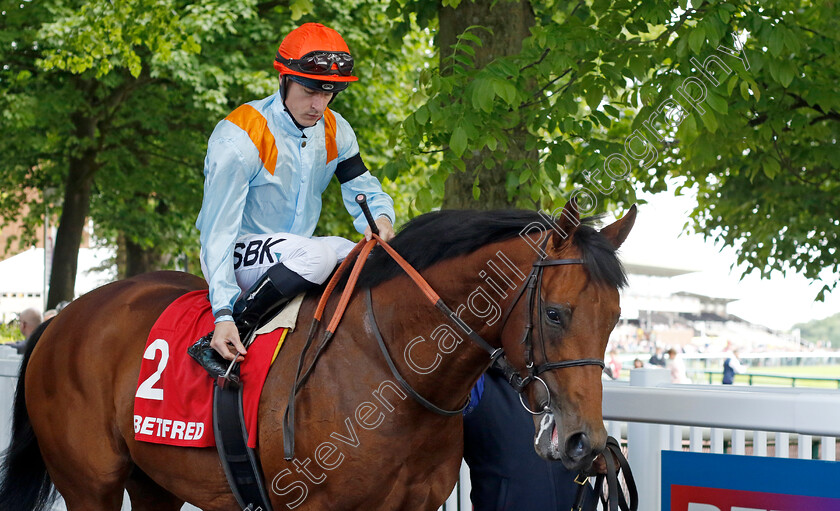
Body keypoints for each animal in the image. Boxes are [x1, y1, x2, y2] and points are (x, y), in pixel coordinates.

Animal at [0, 203, 632, 511]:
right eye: (556, 314)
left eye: (616, 319)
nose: (587, 443)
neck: (387, 368)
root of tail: (63, 317)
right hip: (90, 486)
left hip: (154, 481)